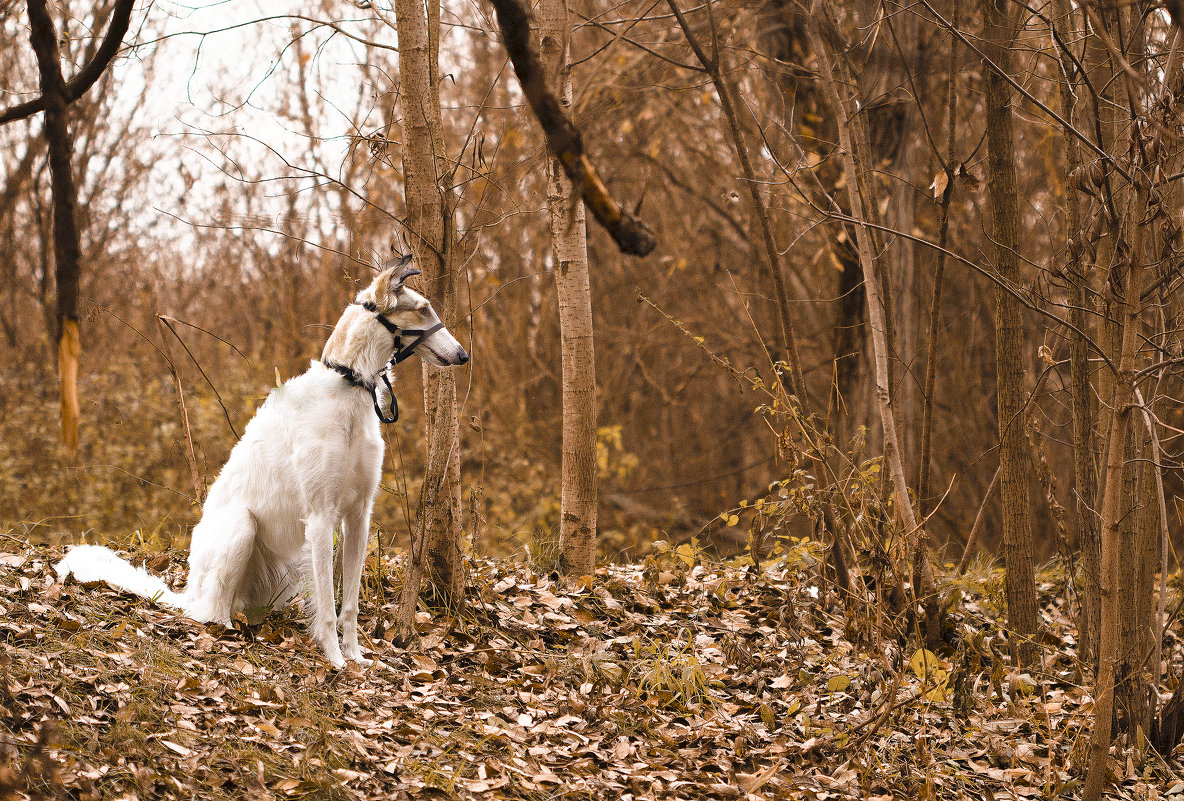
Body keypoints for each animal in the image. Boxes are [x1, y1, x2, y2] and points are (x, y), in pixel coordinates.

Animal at [57, 254, 466, 662]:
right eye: (423, 309)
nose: (463, 355)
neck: (348, 384)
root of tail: (190, 590)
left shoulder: (358, 515)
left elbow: (348, 604)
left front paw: (356, 659)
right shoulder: (321, 517)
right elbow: (327, 606)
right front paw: (335, 660)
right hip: (243, 527)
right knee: (210, 611)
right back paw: (225, 630)